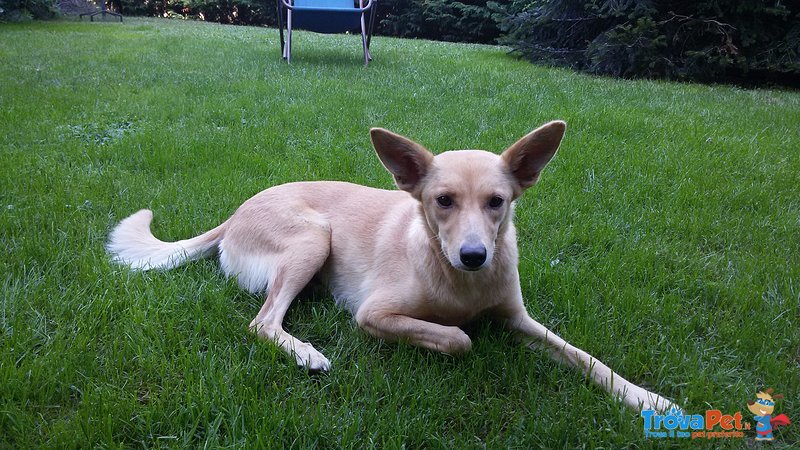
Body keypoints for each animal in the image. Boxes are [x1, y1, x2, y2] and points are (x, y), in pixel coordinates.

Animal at [108, 120, 676, 412]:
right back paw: (307, 353)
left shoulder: (520, 320)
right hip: (312, 240)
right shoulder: (375, 315)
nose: (475, 255)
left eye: (497, 202)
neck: (458, 283)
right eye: (443, 201)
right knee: (263, 321)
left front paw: (650, 399)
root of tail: (235, 214)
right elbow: (459, 338)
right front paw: (457, 333)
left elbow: (587, 359)